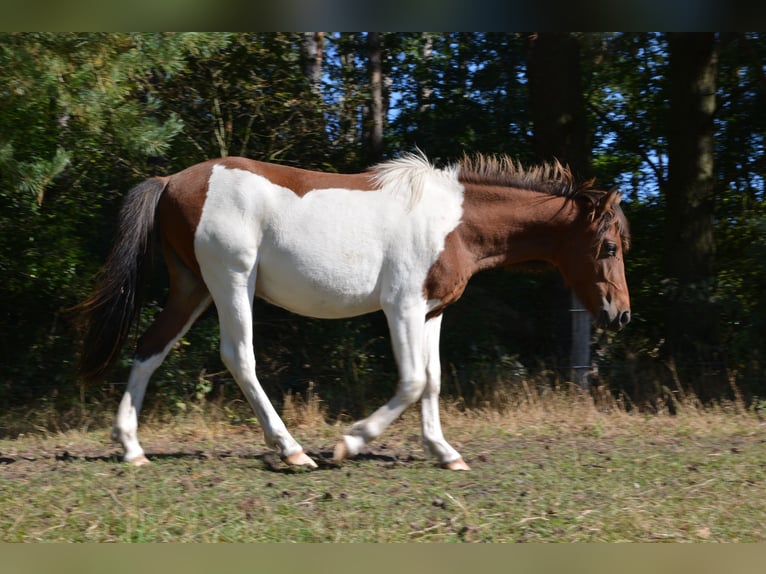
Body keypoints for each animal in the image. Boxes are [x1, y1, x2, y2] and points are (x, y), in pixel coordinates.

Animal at [75, 152, 632, 472]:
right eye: (608, 246)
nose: (620, 315)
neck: (454, 222)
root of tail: (170, 180)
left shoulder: (432, 312)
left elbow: (432, 381)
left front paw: (444, 453)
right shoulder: (401, 305)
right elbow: (411, 381)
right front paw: (350, 442)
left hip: (192, 286)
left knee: (151, 348)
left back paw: (131, 447)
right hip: (231, 279)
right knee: (240, 357)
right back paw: (293, 451)